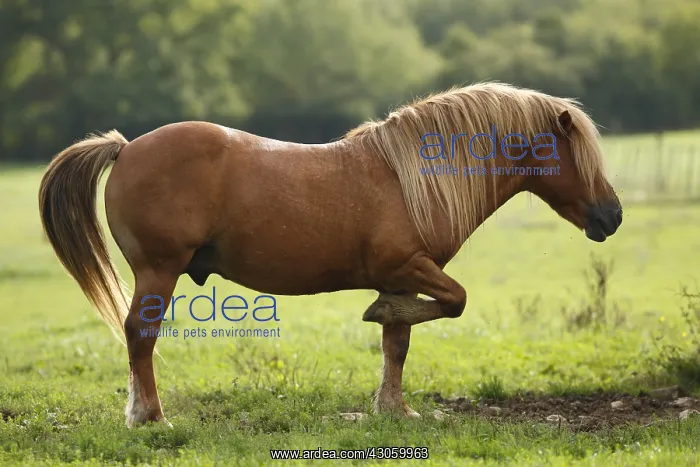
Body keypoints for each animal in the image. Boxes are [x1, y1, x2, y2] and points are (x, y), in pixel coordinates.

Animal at [38, 82, 622, 427]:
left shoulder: (404, 277)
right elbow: (454, 302)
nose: (612, 216)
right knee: (141, 336)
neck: (410, 179)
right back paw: (151, 417)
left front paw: (394, 410)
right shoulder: (410, 269)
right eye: (579, 154)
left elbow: (397, 344)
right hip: (159, 271)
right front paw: (380, 328)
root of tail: (126, 147)